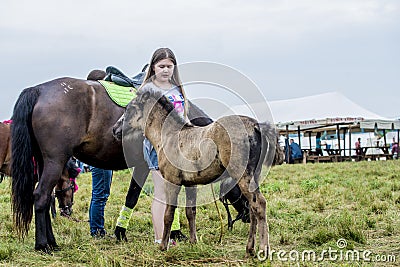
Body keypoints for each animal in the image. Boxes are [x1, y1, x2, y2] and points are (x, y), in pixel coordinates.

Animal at [10, 72, 212, 252]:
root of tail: (39, 90)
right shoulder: (145, 166)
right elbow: (135, 197)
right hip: (55, 161)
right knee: (41, 196)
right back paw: (43, 245)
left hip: (44, 162)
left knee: (47, 198)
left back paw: (52, 242)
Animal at [120, 88, 280, 258]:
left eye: (129, 108)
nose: (116, 130)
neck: (170, 136)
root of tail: (257, 125)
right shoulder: (191, 184)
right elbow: (191, 212)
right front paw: (193, 242)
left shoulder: (172, 181)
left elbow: (168, 214)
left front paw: (163, 246)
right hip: (254, 175)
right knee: (252, 208)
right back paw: (249, 249)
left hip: (243, 175)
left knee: (259, 204)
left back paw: (263, 249)